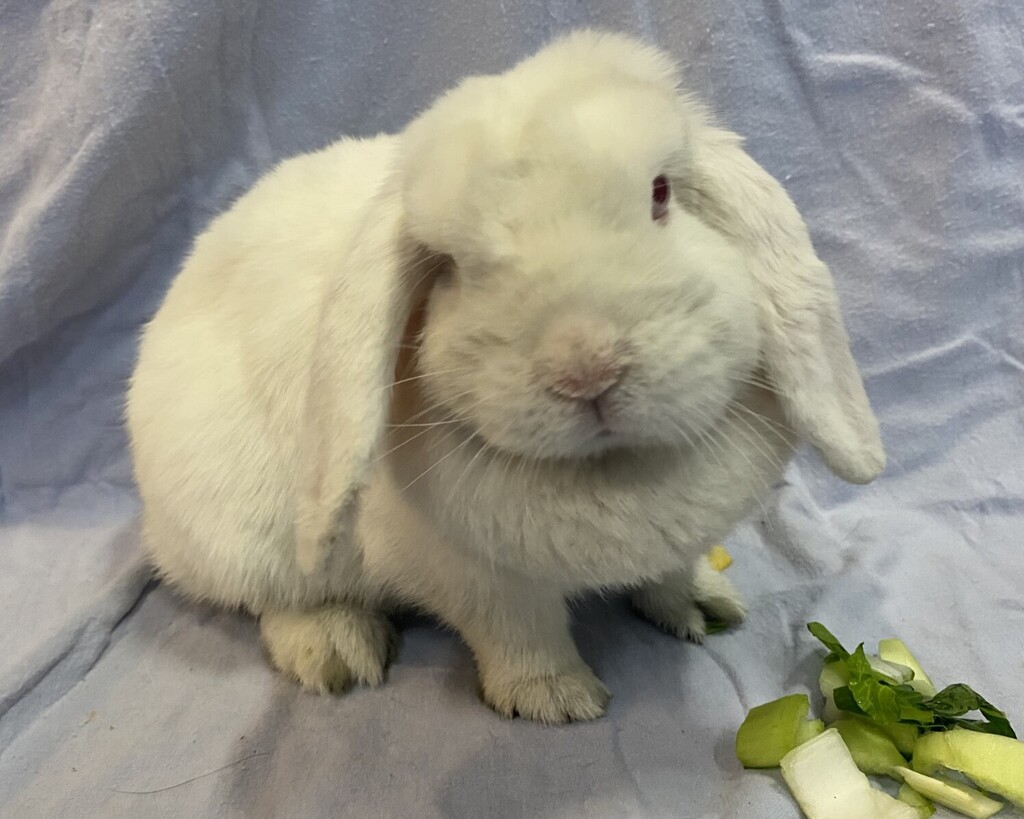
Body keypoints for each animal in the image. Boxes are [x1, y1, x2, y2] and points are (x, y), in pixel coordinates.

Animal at [126, 30, 884, 723]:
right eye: (454, 266)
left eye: (661, 194)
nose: (585, 367)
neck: (610, 469)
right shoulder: (474, 578)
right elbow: (519, 633)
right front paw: (558, 701)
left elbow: (669, 574)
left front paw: (700, 607)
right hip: (243, 534)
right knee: (274, 597)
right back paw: (335, 650)